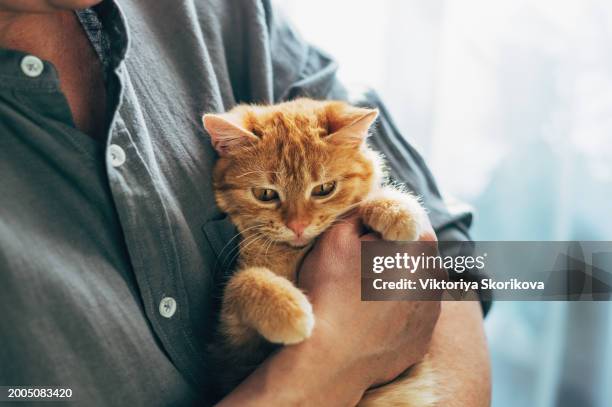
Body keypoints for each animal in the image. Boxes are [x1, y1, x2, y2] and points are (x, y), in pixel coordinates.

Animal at [203, 99, 438, 407]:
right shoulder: (232, 351)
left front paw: (396, 208)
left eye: (324, 189)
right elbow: (242, 281)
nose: (298, 226)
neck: (294, 252)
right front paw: (287, 309)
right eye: (265, 194)